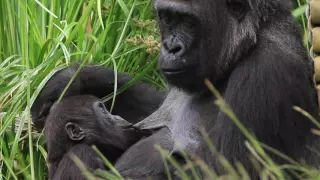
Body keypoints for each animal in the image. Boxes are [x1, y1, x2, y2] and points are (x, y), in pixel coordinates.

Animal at [31, 0, 320, 178]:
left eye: (188, 21)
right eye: (168, 18)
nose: (170, 47)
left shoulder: (266, 72)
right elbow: (153, 107)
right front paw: (72, 78)